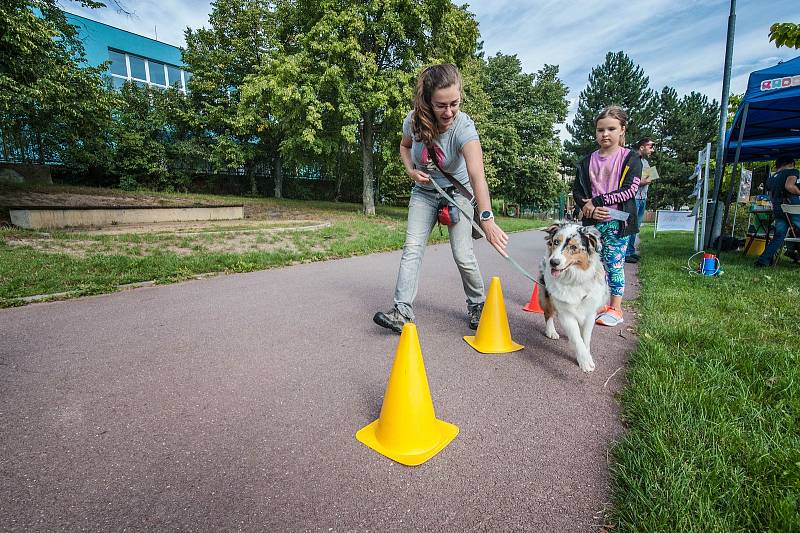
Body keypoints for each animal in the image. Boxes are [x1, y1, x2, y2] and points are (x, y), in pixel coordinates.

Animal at [540, 222, 608, 372]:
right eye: (556, 242)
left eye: (574, 247)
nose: (553, 262)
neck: (574, 278)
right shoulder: (566, 314)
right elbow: (577, 339)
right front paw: (585, 362)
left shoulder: (590, 313)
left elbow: (585, 339)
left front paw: (587, 356)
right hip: (547, 295)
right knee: (548, 313)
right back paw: (551, 331)